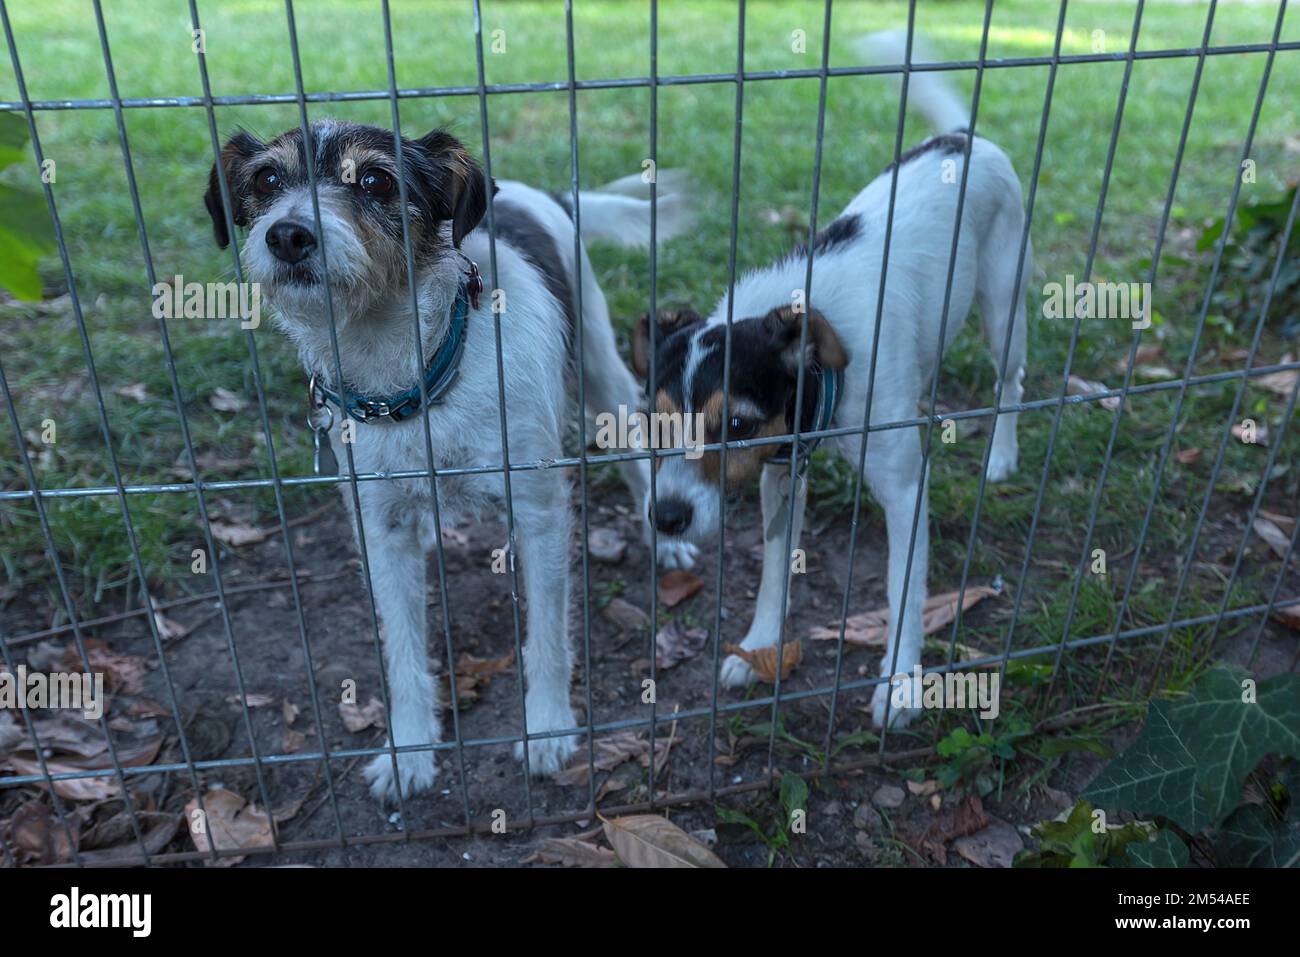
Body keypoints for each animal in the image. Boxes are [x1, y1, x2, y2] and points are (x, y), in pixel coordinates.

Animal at [634, 33, 1029, 728]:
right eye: (652, 423)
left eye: (735, 424)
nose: (667, 517)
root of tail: (963, 136)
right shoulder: (779, 478)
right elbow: (772, 579)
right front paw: (760, 650)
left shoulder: (905, 490)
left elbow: (905, 588)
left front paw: (901, 683)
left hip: (1005, 310)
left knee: (1014, 383)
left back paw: (1002, 457)